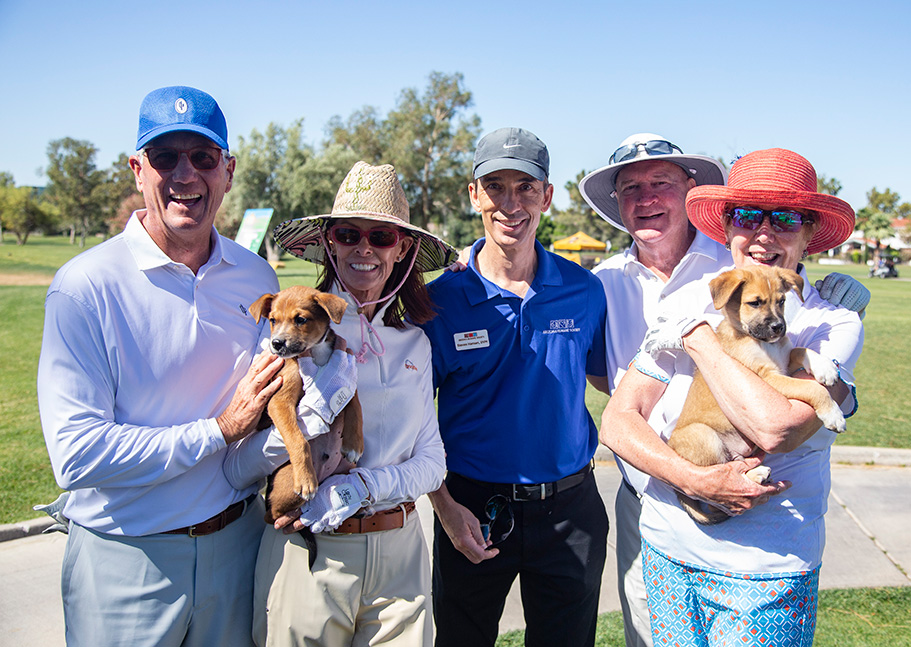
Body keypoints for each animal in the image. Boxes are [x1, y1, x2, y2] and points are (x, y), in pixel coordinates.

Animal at [251, 286, 366, 524]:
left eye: (301, 319)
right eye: (273, 320)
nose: (276, 344)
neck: (316, 351)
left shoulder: (348, 375)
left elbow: (356, 407)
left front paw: (354, 445)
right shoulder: (278, 402)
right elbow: (298, 439)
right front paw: (305, 479)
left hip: (344, 468)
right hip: (286, 486)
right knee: (273, 515)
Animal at [668, 266, 848, 524]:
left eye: (782, 301)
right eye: (754, 302)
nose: (778, 327)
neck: (762, 343)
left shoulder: (785, 363)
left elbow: (801, 349)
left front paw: (825, 367)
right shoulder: (767, 378)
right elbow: (813, 388)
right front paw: (834, 414)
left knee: (732, 465)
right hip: (704, 435)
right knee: (715, 480)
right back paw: (756, 475)